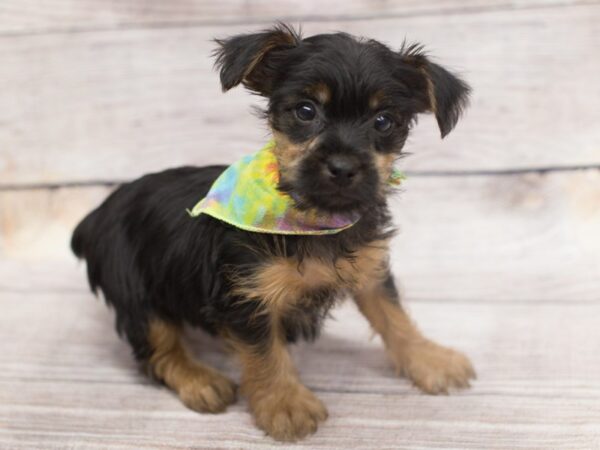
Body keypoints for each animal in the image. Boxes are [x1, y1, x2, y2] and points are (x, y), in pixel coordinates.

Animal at [71, 23, 474, 440]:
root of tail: (96, 216)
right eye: (306, 111)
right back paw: (201, 380)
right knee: (157, 349)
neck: (313, 219)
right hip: (134, 289)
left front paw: (430, 359)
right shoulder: (246, 296)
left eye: (383, 121)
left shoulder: (370, 268)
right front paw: (285, 403)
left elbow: (394, 315)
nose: (343, 167)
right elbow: (265, 353)